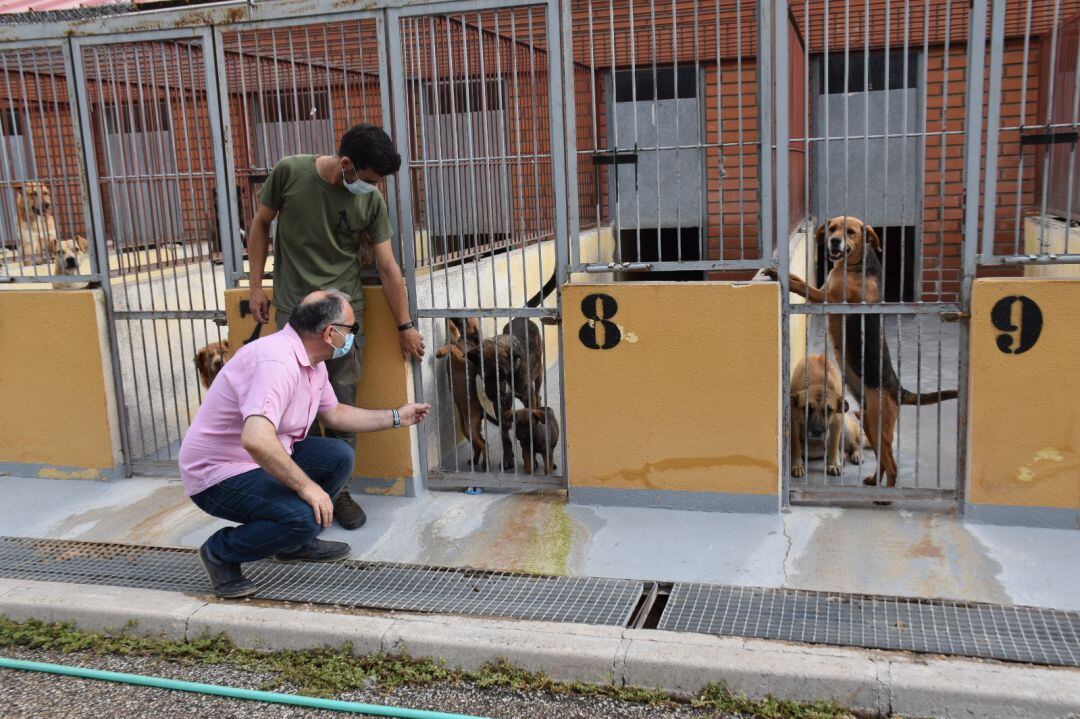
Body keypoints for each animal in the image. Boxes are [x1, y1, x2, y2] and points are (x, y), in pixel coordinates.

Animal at [432, 317, 488, 468]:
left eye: (466, 319)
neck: (466, 340)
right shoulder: (453, 339)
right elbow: (451, 336)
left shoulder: (461, 359)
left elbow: (452, 347)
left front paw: (441, 351)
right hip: (466, 429)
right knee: (478, 445)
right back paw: (474, 460)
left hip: (470, 427)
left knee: (483, 444)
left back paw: (485, 464)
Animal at [764, 215, 959, 490]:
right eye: (832, 229)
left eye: (851, 232)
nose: (834, 242)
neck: (854, 266)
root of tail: (898, 389)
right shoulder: (823, 289)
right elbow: (800, 280)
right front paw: (777, 270)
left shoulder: (826, 297)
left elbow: (801, 286)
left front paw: (778, 275)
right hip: (869, 422)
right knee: (883, 461)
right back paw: (872, 479)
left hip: (879, 424)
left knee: (892, 465)